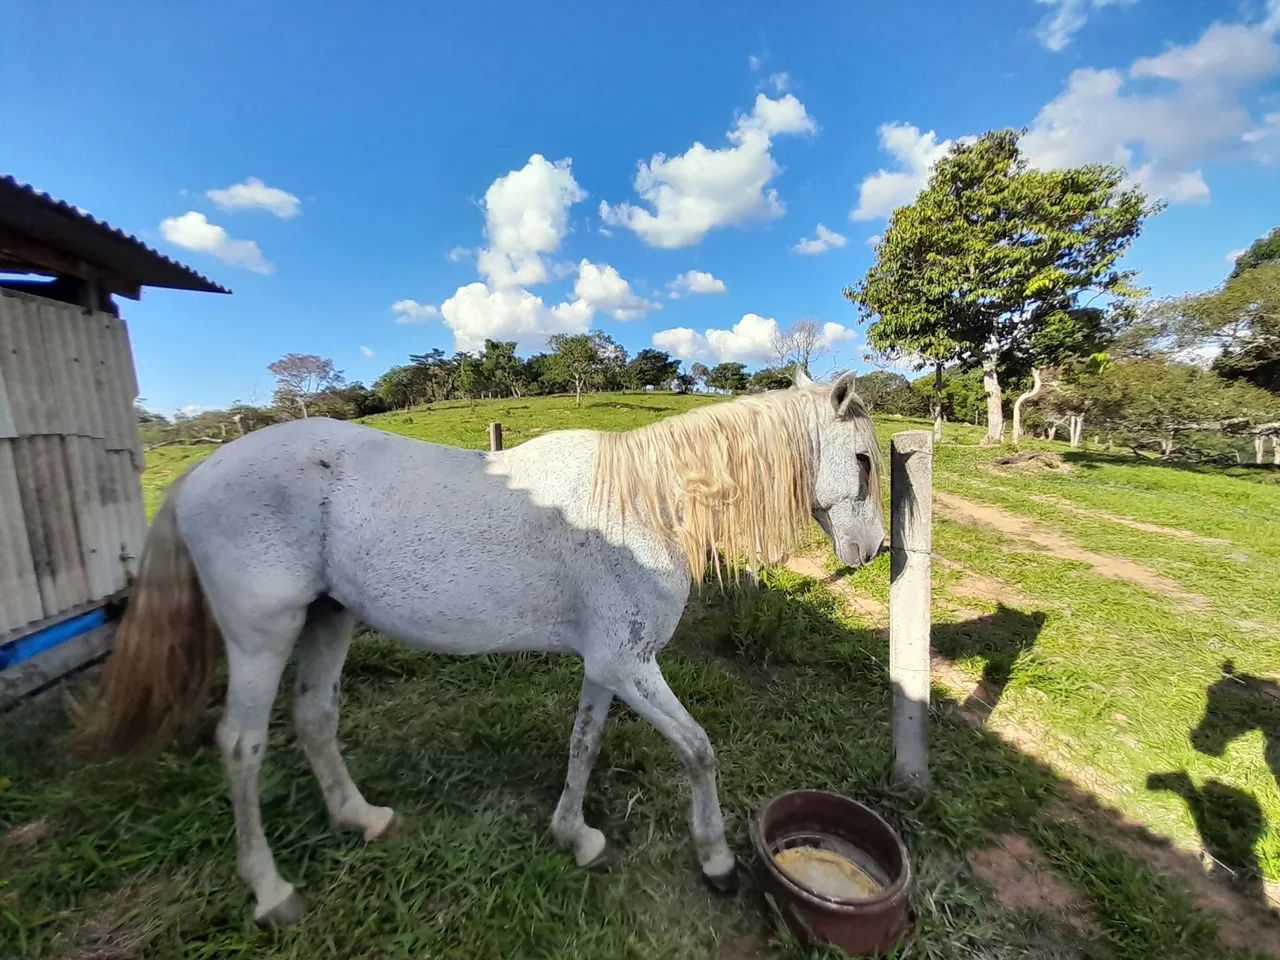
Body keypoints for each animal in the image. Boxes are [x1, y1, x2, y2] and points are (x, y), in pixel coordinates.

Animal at [87, 369, 885, 927]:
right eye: (864, 460)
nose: (872, 551)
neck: (642, 500)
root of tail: (197, 475)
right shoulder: (631, 666)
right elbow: (698, 751)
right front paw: (716, 859)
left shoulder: (608, 666)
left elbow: (584, 744)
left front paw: (576, 836)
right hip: (262, 637)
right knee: (243, 747)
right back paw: (271, 889)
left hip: (328, 619)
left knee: (315, 717)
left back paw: (363, 819)